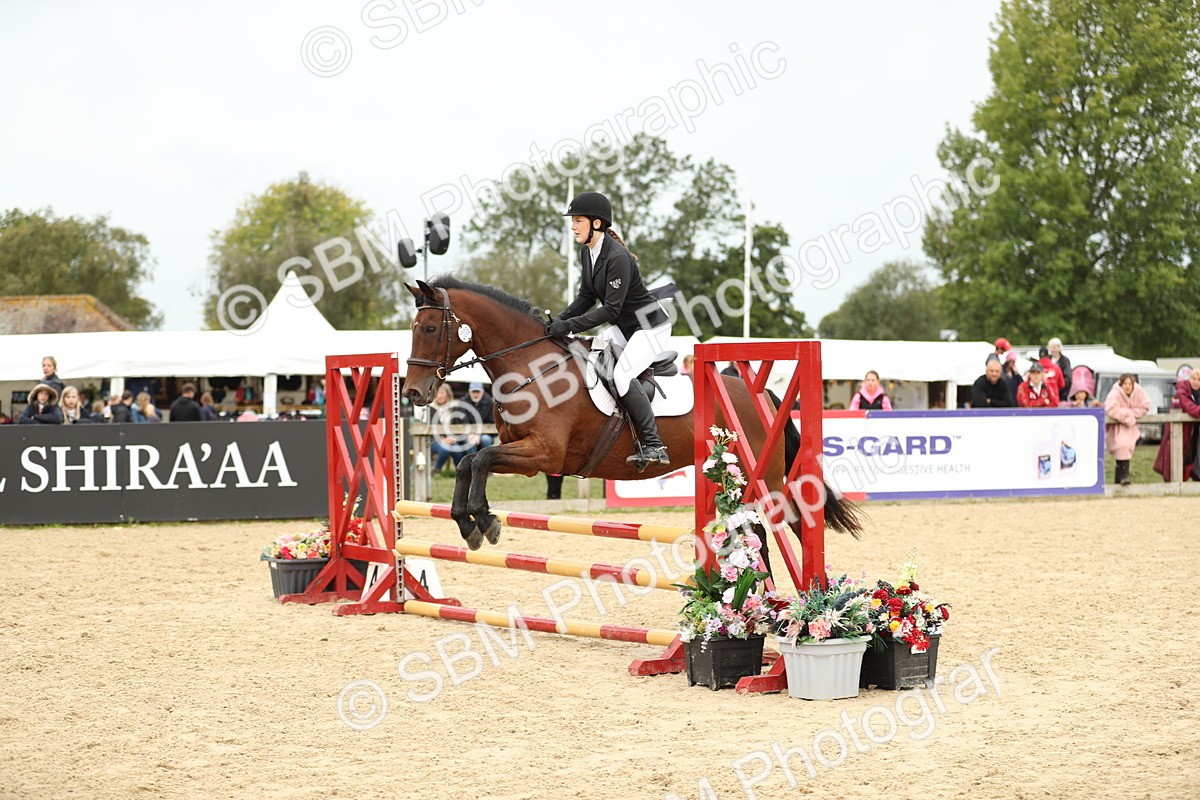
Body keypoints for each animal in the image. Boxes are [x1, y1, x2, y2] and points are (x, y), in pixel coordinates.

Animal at [402, 276, 862, 553]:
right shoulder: (522, 452)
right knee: (758, 534)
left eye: (430, 329)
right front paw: (469, 524)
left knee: (794, 524)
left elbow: (478, 458)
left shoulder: (544, 454)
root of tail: (760, 393)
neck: (531, 366)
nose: (412, 392)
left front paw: (485, 521)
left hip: (766, 479)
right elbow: (469, 461)